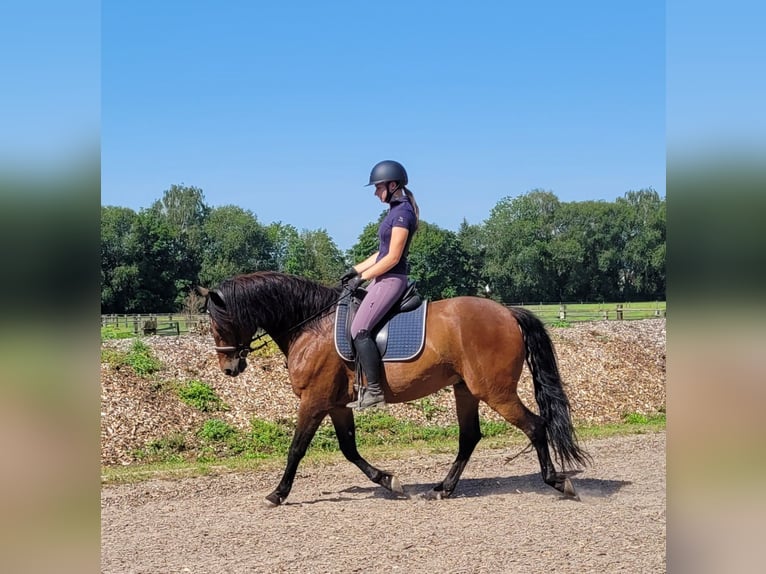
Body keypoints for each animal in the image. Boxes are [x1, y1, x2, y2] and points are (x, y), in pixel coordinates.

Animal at [196, 272, 588, 506]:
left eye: (220, 325)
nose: (229, 368)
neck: (310, 325)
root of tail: (507, 313)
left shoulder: (314, 400)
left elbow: (296, 448)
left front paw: (278, 493)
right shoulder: (336, 404)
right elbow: (349, 449)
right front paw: (388, 480)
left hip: (495, 391)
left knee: (535, 426)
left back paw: (557, 482)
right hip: (466, 389)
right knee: (469, 437)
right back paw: (444, 488)